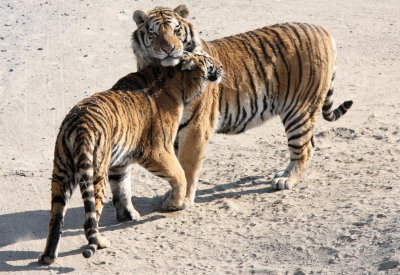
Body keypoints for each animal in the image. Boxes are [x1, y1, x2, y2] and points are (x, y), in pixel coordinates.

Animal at [37, 51, 222, 266]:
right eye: (207, 59)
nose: (221, 65)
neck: (176, 80)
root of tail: (79, 125)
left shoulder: (120, 164)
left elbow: (123, 189)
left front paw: (129, 214)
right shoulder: (159, 150)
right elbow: (180, 175)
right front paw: (176, 203)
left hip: (61, 172)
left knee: (55, 219)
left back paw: (48, 257)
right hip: (95, 174)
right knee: (90, 219)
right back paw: (101, 242)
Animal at [131, 4, 354, 209]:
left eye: (176, 31)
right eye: (153, 33)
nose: (169, 49)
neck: (164, 73)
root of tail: (322, 30)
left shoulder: (196, 126)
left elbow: (187, 165)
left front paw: (182, 201)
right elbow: (176, 166)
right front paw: (172, 195)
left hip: (300, 110)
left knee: (304, 148)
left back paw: (286, 179)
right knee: (310, 144)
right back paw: (284, 173)